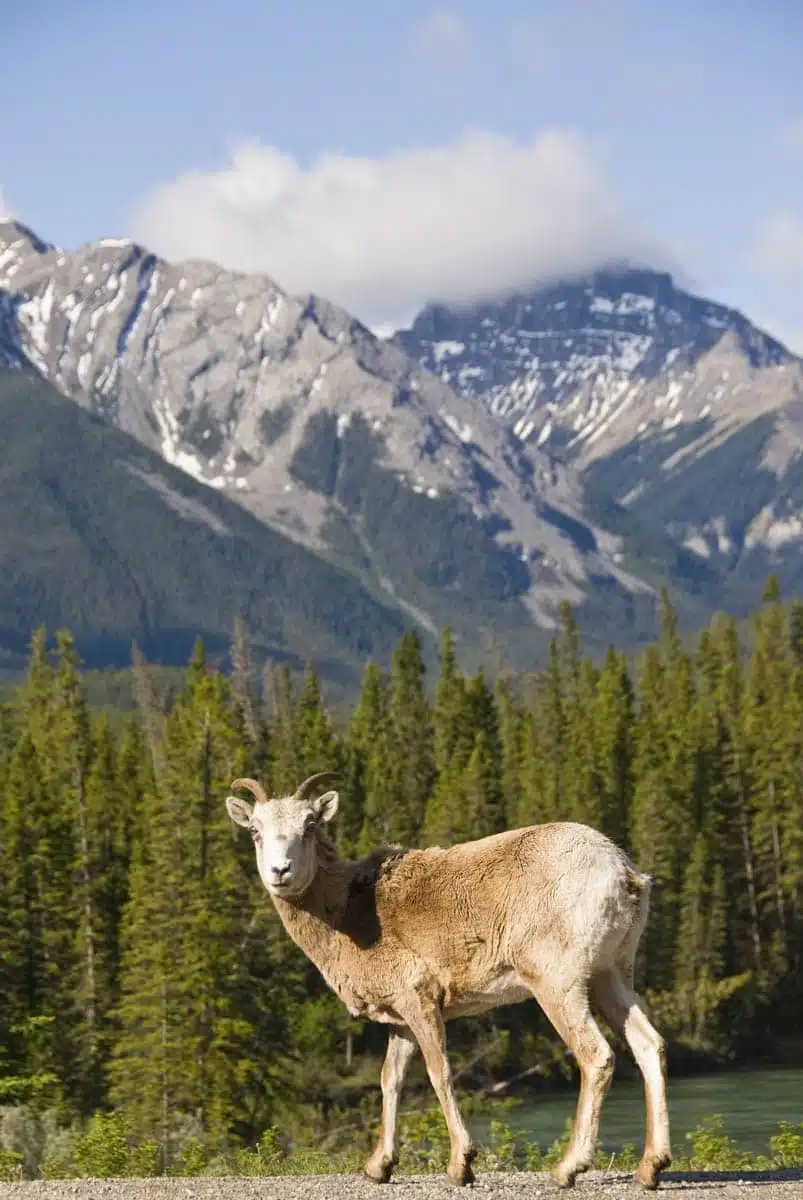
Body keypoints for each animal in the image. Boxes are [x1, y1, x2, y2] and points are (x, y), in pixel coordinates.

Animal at [225, 772, 672, 1185]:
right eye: (255, 830)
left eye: (310, 825)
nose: (280, 871)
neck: (348, 913)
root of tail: (625, 876)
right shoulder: (400, 1020)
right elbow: (390, 1080)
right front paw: (378, 1167)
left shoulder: (421, 1001)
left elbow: (438, 1073)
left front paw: (461, 1166)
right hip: (612, 976)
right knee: (649, 1045)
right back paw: (650, 1169)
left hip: (558, 985)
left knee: (596, 1056)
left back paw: (567, 1169)